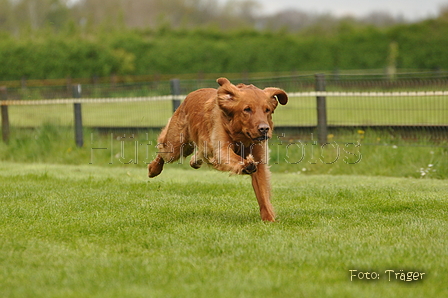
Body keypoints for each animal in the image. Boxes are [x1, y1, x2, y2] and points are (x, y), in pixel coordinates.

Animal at [147, 77, 288, 221]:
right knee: (163, 150)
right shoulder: (222, 149)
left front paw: (269, 219)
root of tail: (190, 95)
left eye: (267, 110)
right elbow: (236, 158)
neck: (241, 136)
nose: (264, 129)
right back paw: (153, 169)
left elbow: (263, 194)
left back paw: (195, 161)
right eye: (247, 109)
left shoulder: (259, 160)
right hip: (176, 145)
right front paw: (246, 165)